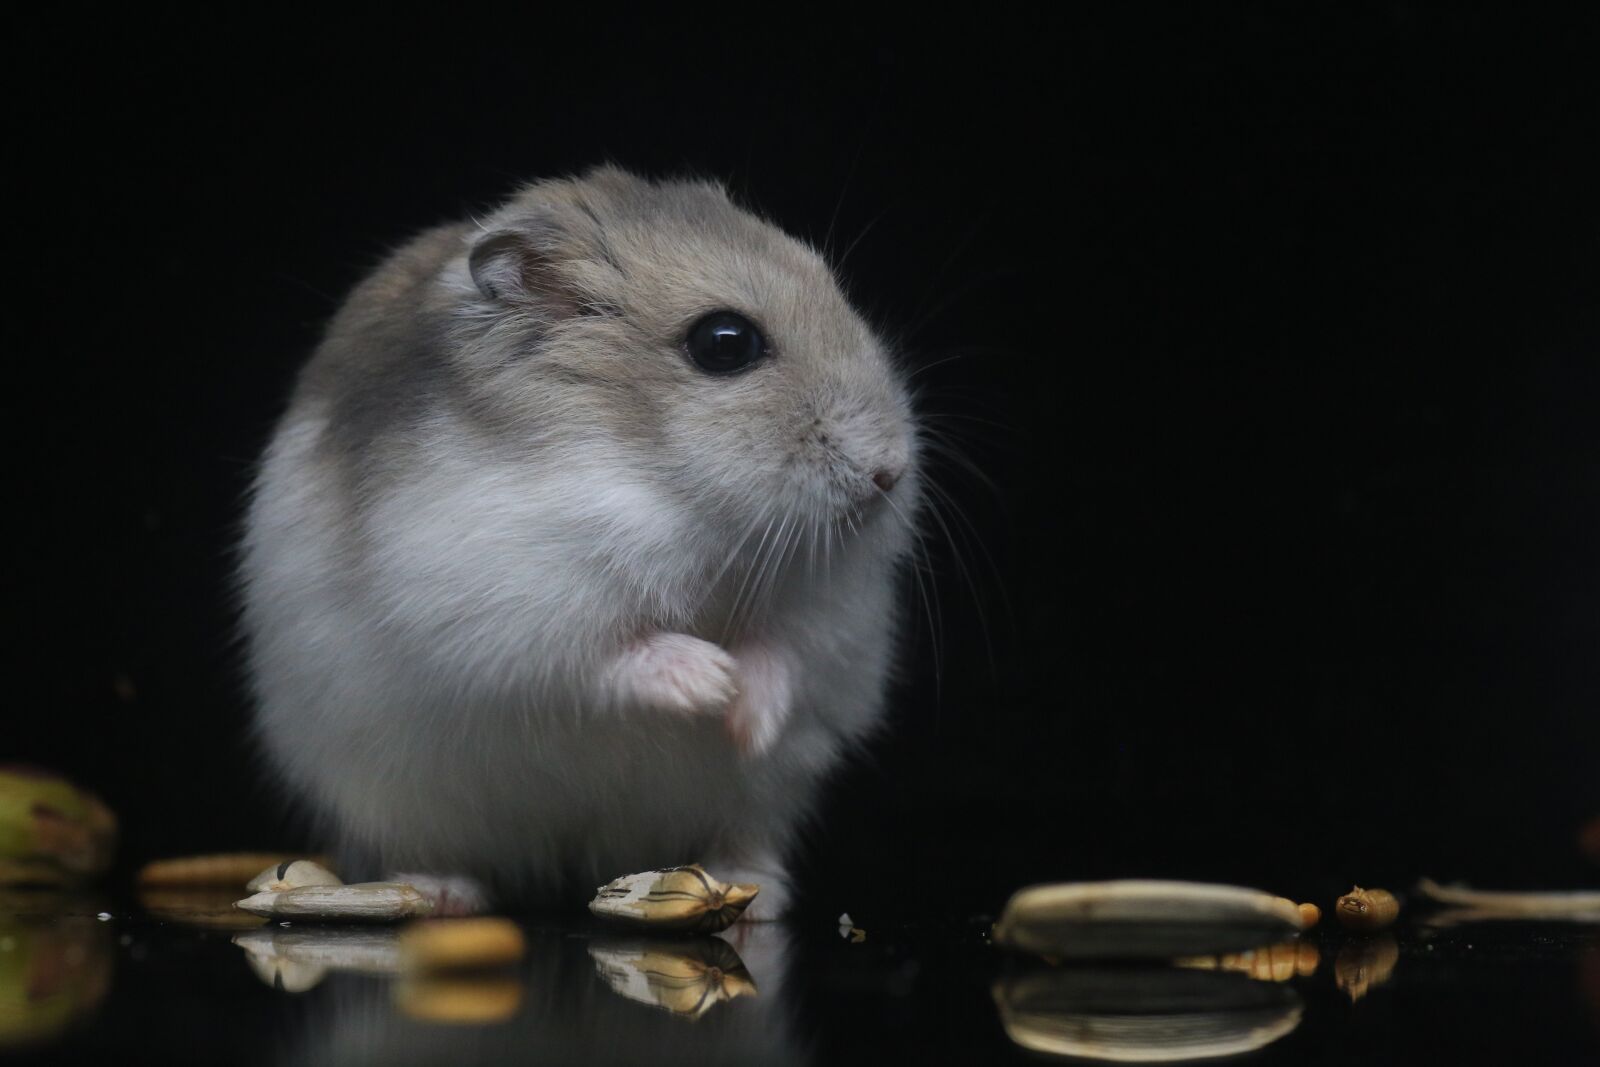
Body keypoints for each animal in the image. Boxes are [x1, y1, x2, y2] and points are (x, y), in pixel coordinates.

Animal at [239, 165, 920, 919]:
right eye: (725, 342)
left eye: (835, 290)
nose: (890, 472)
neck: (671, 488)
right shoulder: (512, 608)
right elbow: (610, 655)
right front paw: (711, 680)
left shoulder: (832, 613)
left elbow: (787, 650)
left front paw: (748, 716)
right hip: (388, 791)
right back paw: (439, 893)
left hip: (761, 797)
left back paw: (757, 893)